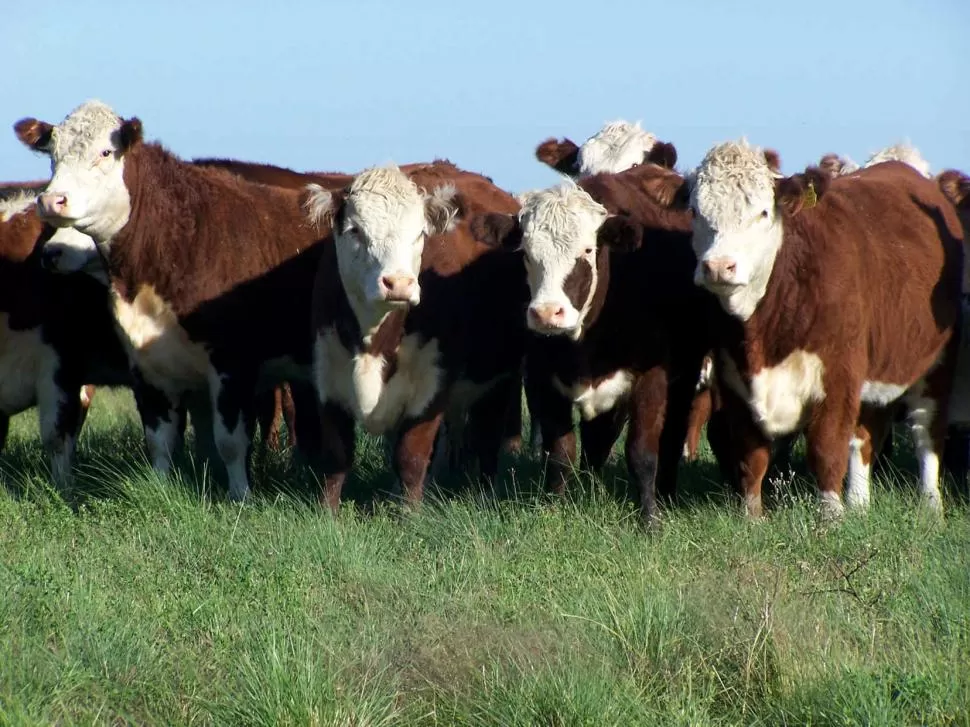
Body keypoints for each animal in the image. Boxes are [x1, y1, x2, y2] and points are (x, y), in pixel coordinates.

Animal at [12, 99, 340, 504]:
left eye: (105, 152)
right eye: (53, 154)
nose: (51, 201)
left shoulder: (233, 366)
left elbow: (231, 441)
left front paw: (241, 498)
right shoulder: (148, 369)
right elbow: (161, 441)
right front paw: (161, 489)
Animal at [304, 161, 524, 512]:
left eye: (420, 234)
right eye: (355, 231)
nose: (399, 283)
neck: (374, 341)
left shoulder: (432, 382)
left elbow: (412, 455)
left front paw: (409, 514)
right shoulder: (327, 371)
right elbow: (337, 455)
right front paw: (328, 512)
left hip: (499, 377)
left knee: (487, 438)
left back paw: (484, 492)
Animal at [468, 159, 720, 524]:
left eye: (587, 250)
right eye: (526, 254)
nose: (546, 313)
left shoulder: (651, 379)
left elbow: (642, 453)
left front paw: (650, 518)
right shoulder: (543, 380)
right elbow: (560, 454)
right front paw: (554, 508)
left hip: (686, 374)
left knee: (670, 435)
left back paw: (666, 492)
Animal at [688, 139, 960, 520]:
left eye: (763, 213)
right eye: (695, 212)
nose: (717, 266)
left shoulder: (838, 375)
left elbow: (826, 448)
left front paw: (830, 516)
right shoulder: (734, 382)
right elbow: (751, 455)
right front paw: (751, 517)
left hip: (937, 364)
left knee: (926, 431)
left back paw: (931, 505)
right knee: (865, 436)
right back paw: (860, 504)